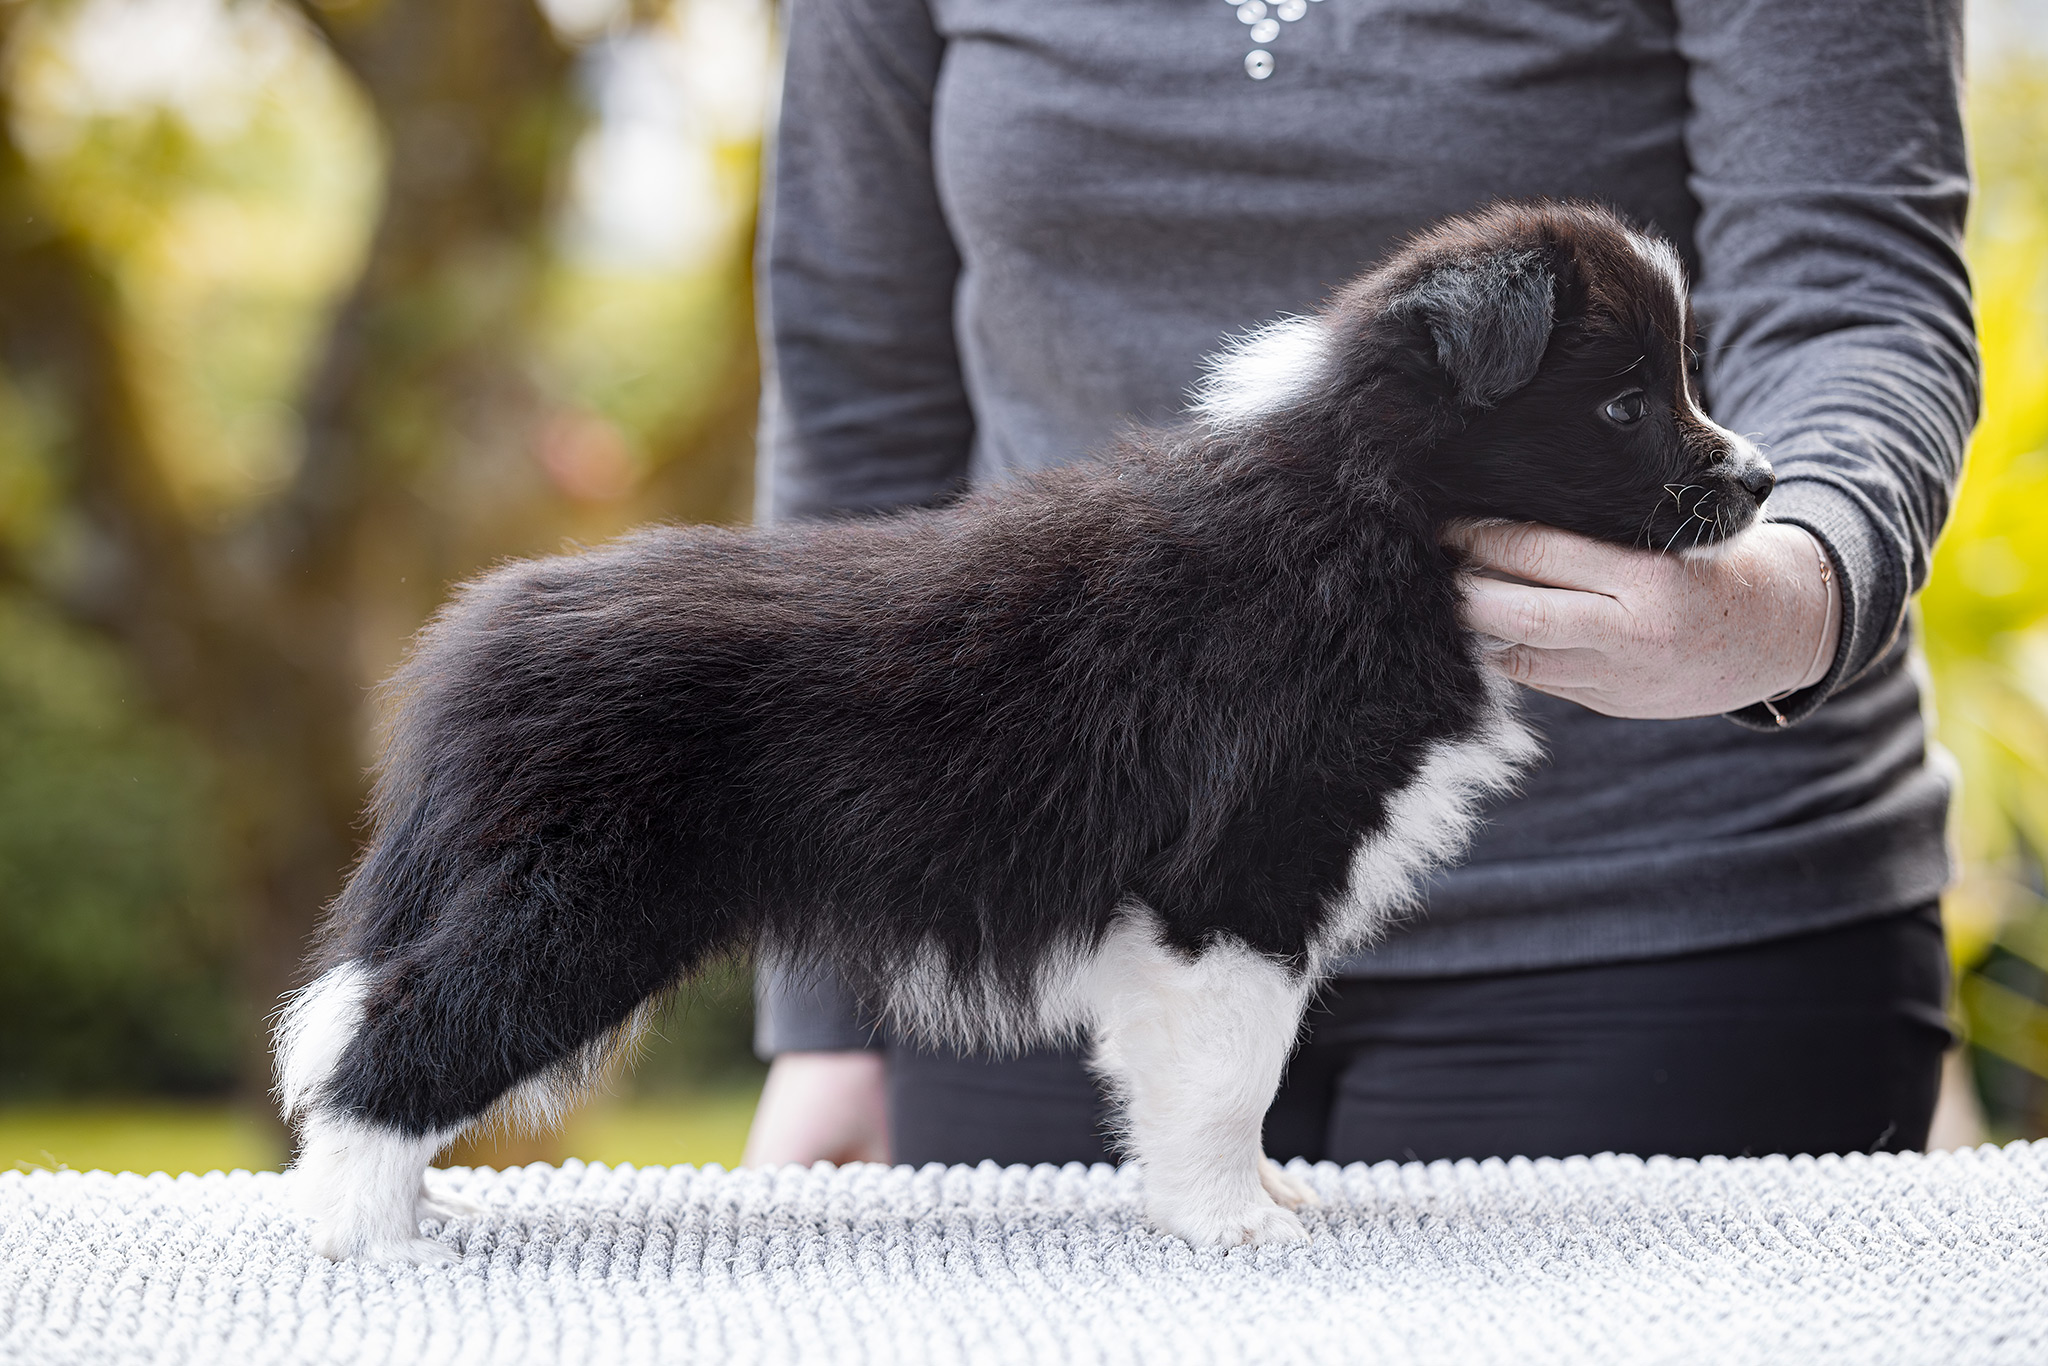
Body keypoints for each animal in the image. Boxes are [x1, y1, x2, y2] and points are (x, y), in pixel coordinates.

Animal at [276, 200, 1777, 1261]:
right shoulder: (1241, 868)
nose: (1762, 483)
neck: (1370, 492)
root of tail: (480, 641)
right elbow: (1232, 1067)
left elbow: (1199, 1073)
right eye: (1626, 401)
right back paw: (372, 1234)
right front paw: (1236, 1221)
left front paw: (1237, 1197)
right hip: (584, 902)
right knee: (400, 1034)